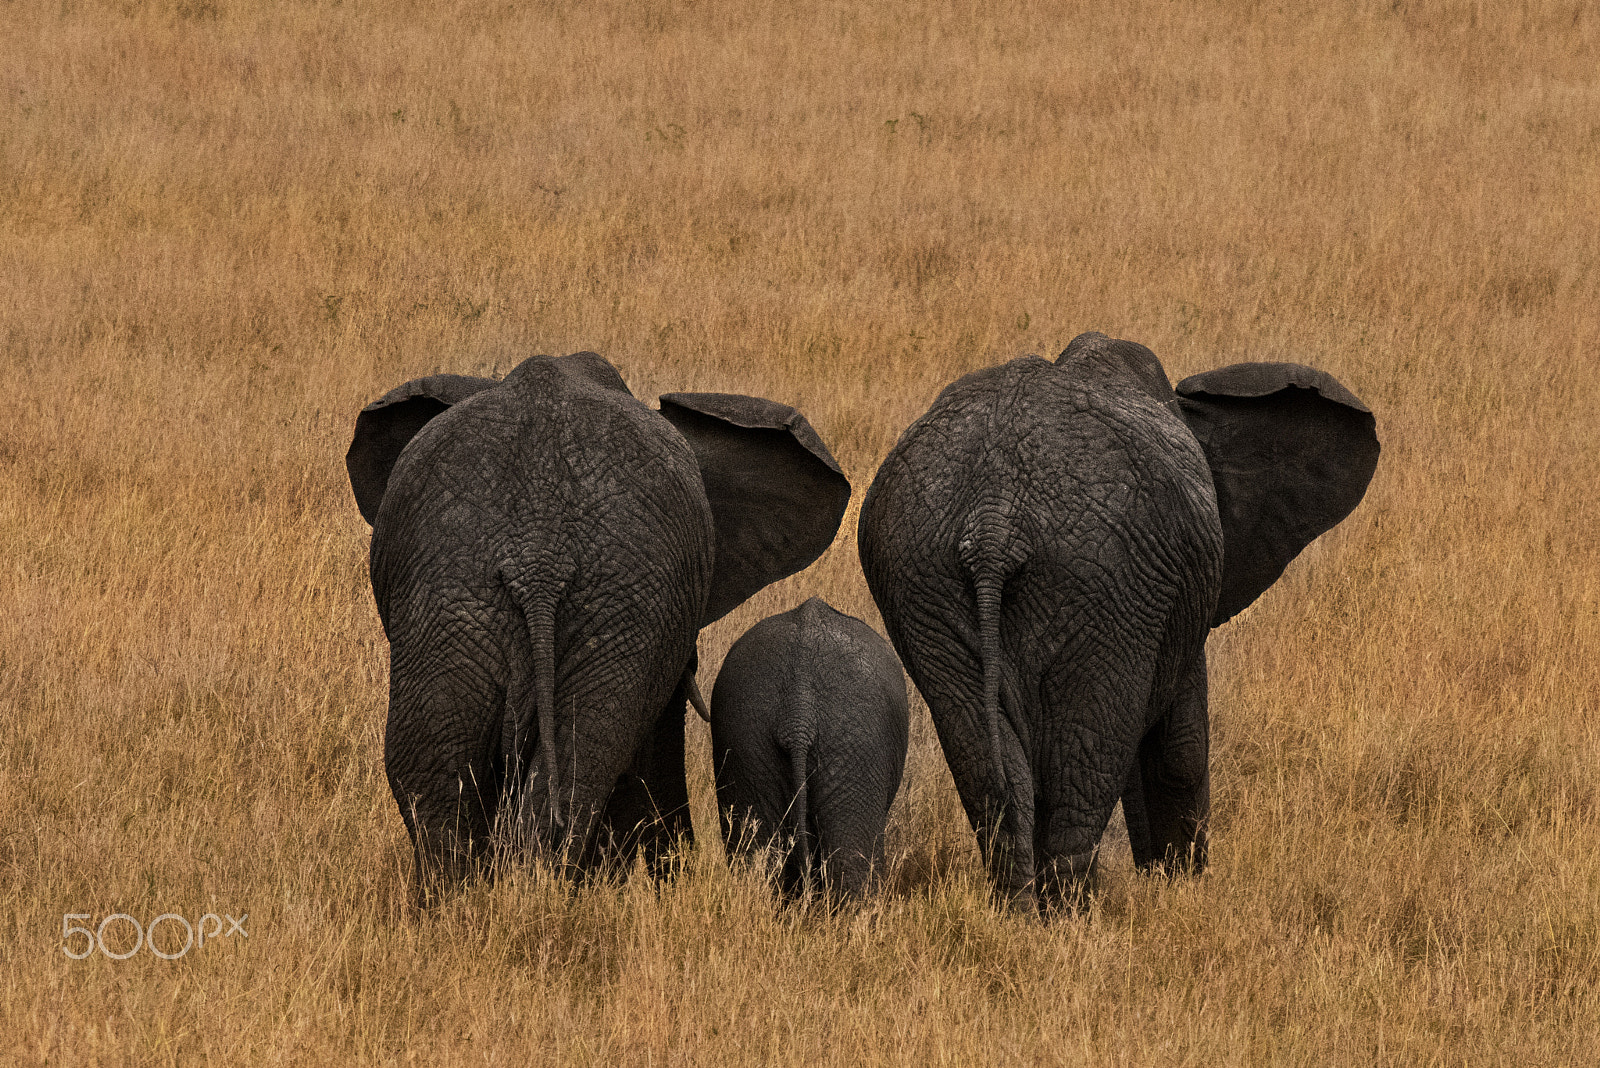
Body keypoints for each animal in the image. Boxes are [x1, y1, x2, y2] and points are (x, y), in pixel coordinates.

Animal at [857, 330, 1382, 908]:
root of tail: (995, 516)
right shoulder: (1161, 601)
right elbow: (1181, 746)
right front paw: (1181, 892)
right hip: (1101, 581)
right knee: (1087, 753)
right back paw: (1070, 915)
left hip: (921, 576)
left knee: (982, 752)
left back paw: (1017, 910)